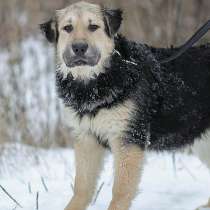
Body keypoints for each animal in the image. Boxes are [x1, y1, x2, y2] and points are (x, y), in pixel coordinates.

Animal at [39, 1, 210, 210]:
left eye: (93, 27)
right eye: (67, 28)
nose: (79, 47)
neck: (95, 83)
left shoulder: (128, 138)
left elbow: (120, 190)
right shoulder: (87, 138)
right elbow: (82, 186)